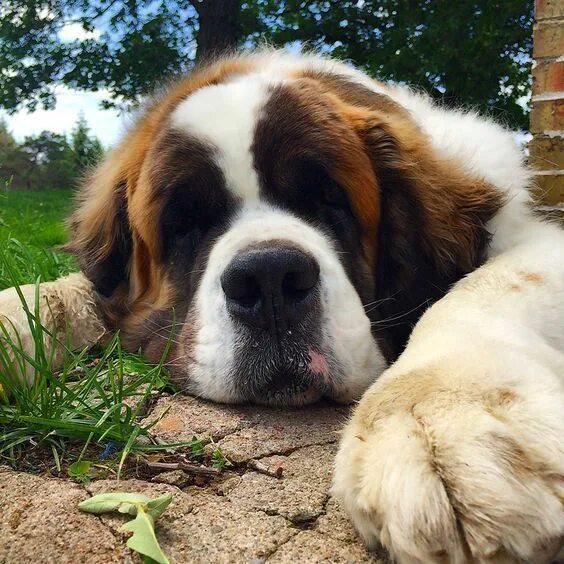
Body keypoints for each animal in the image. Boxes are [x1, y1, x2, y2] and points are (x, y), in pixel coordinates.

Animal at [48, 51, 564, 560]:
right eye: (184, 221)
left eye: (329, 198)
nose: (269, 278)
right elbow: (60, 296)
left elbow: (487, 287)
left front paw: (439, 420)